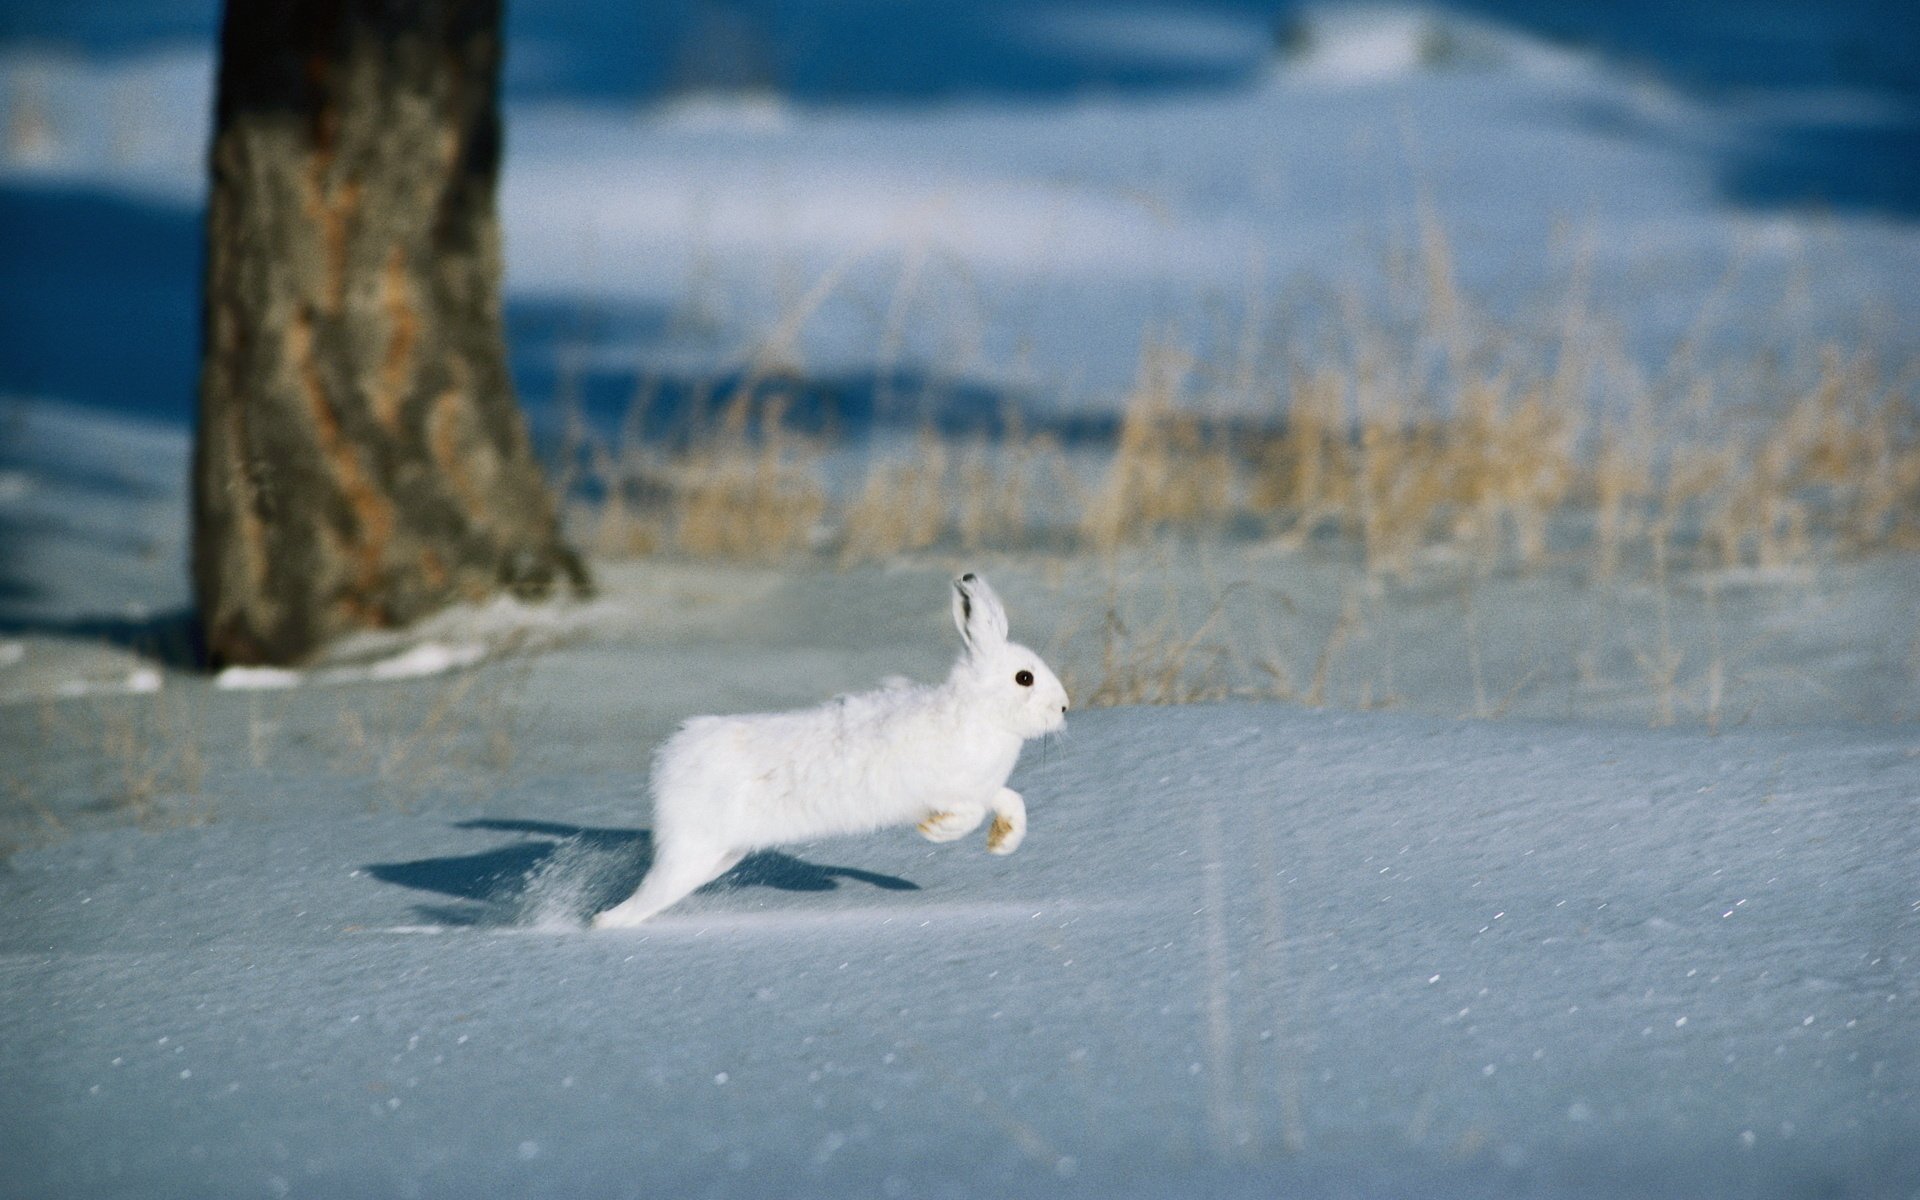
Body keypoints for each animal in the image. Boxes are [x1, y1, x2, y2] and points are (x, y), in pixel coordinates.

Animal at [591, 572, 1069, 927]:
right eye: (1024, 678)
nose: (1064, 707)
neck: (979, 713)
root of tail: (670, 759)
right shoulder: (941, 789)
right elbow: (965, 815)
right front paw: (935, 832)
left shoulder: (984, 789)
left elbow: (1012, 801)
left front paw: (1002, 845)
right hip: (691, 851)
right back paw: (602, 924)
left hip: (720, 855)